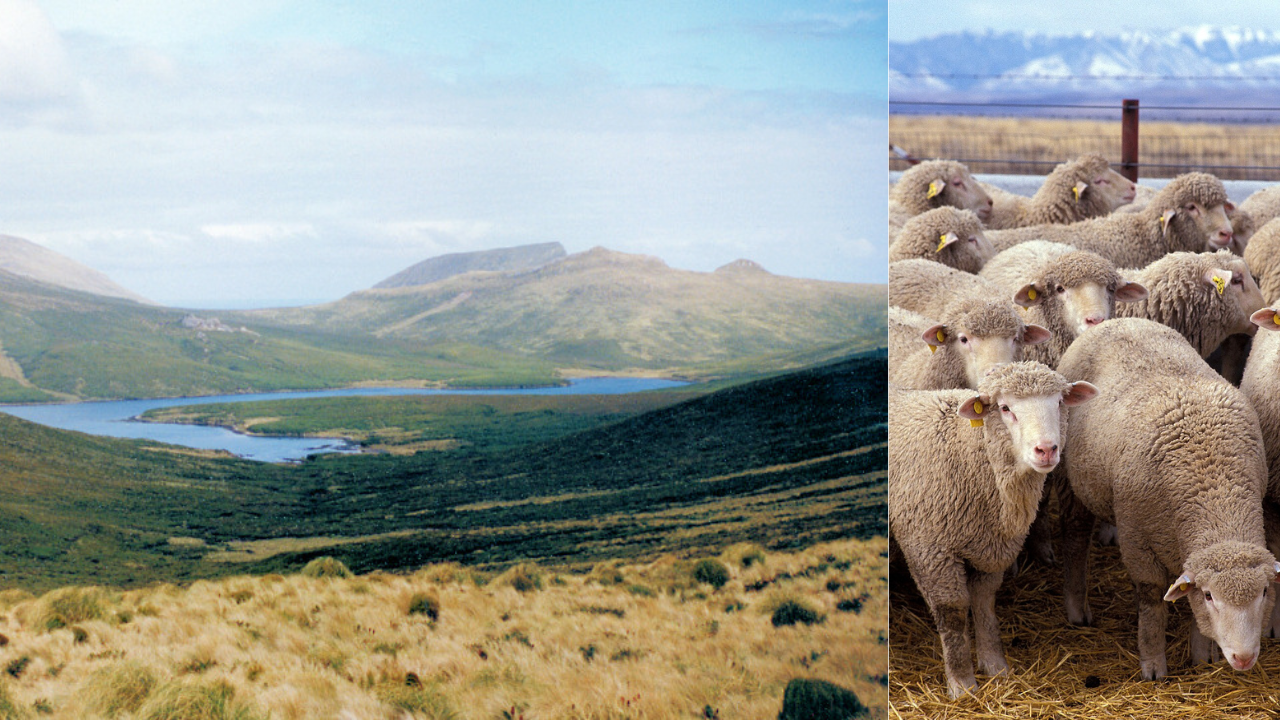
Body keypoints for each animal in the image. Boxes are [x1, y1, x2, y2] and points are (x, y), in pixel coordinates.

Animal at [889, 361, 1098, 697]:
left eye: (1059, 402)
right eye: (1005, 408)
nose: (1046, 450)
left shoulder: (991, 545)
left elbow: (985, 604)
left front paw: (995, 667)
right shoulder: (929, 547)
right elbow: (953, 612)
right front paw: (962, 683)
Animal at [1055, 317, 1279, 679]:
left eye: (1262, 592)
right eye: (1210, 596)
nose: (1244, 658)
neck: (1215, 491)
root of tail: (1119, 320)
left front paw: (1202, 656)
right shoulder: (1137, 539)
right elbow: (1150, 601)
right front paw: (1153, 664)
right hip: (1069, 479)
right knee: (1075, 537)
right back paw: (1077, 608)